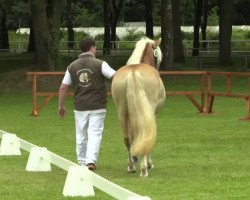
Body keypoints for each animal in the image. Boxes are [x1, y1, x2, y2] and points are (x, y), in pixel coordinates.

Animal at [111, 36, 166, 177]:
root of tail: (133, 72)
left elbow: (133, 136)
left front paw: (135, 157)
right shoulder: (153, 114)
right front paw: (148, 163)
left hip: (122, 114)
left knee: (126, 139)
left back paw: (131, 166)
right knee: (146, 134)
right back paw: (144, 168)